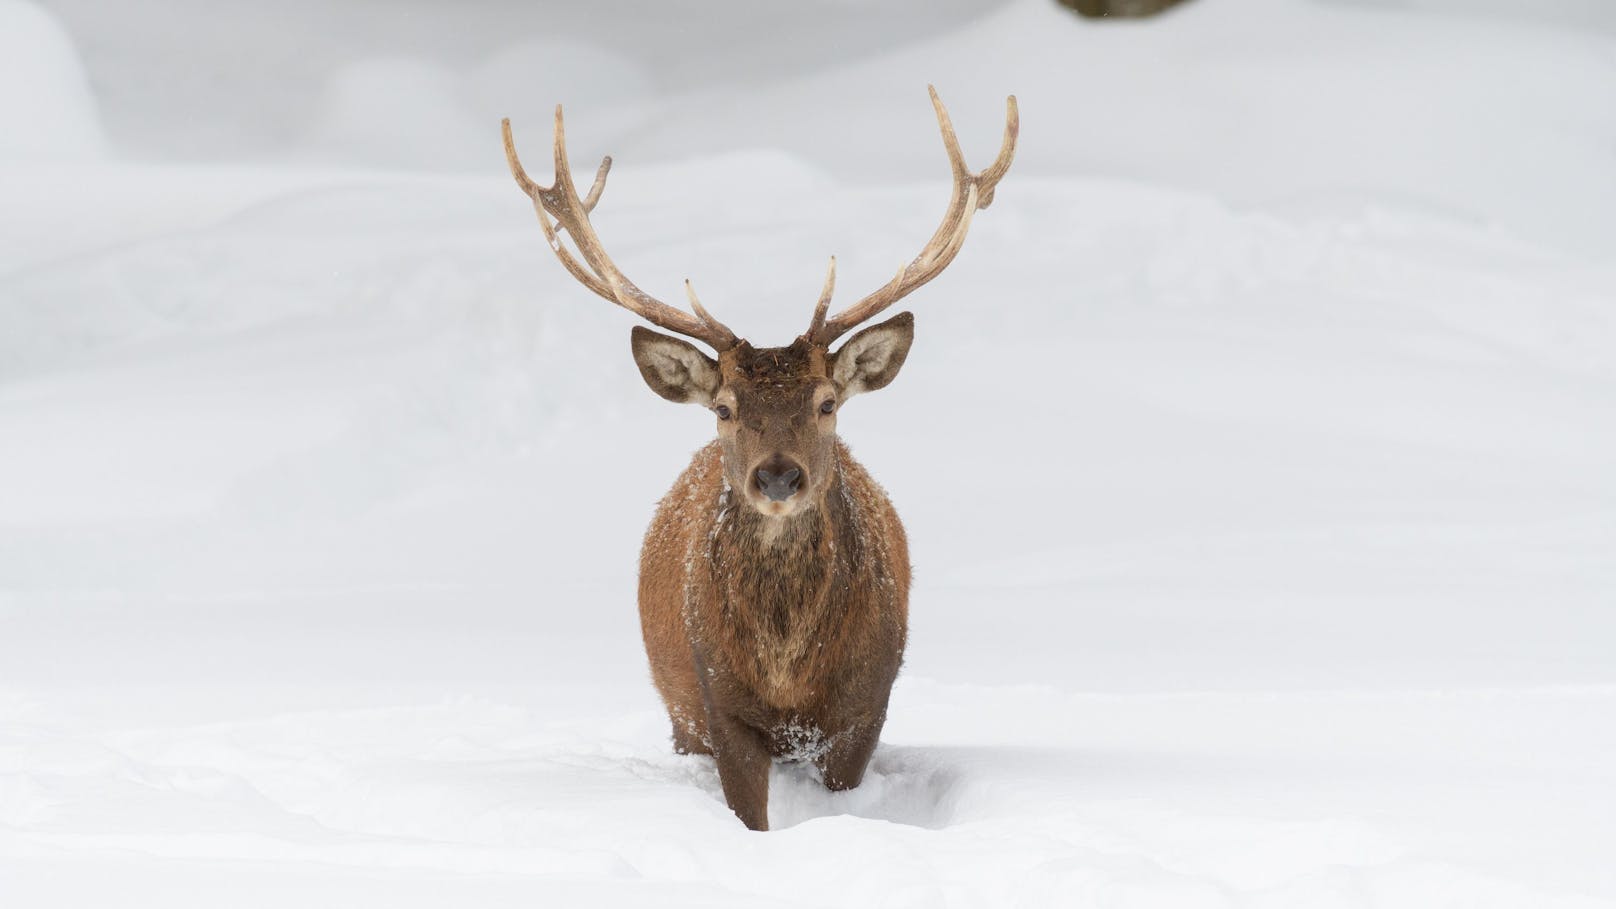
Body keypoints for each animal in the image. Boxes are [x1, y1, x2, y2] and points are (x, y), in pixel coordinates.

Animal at [497, 86, 1014, 828]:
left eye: (827, 402)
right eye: (724, 408)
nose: (777, 474)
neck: (788, 673)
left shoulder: (866, 705)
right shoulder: (720, 704)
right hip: (679, 712)